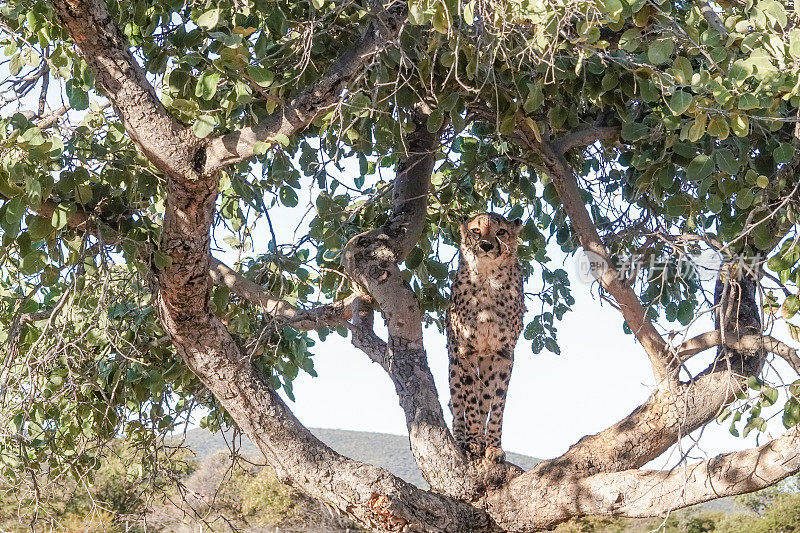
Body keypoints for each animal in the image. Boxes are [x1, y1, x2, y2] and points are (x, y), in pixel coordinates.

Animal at [444, 212, 524, 462]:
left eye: (501, 232)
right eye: (475, 231)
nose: (486, 245)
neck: (489, 279)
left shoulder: (504, 353)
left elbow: (497, 403)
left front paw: (494, 446)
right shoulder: (466, 351)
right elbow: (469, 401)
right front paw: (471, 443)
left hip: (487, 363)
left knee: (484, 399)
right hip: (454, 363)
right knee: (457, 402)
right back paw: (462, 438)